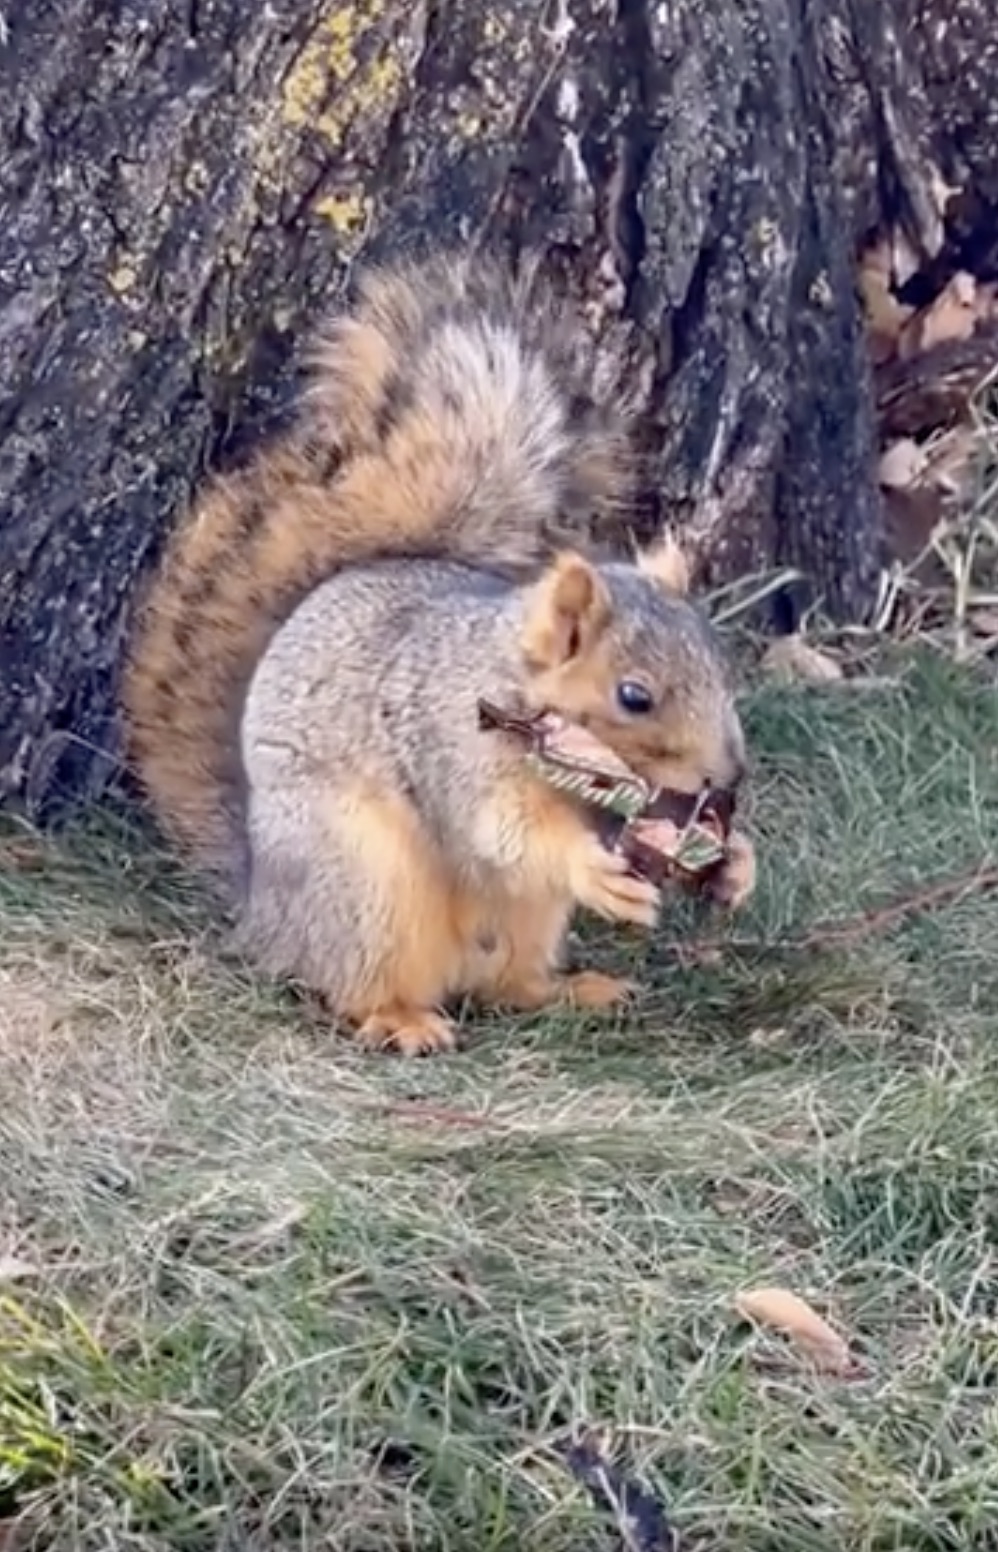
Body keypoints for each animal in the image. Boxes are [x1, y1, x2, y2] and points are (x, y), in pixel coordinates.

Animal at [121, 251, 754, 1055]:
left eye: (721, 667)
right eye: (634, 696)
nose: (728, 776)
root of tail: (264, 910)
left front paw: (737, 865)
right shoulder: (454, 742)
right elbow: (503, 833)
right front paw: (596, 870)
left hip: (524, 920)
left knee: (506, 987)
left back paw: (574, 990)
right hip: (369, 885)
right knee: (355, 984)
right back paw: (400, 1020)